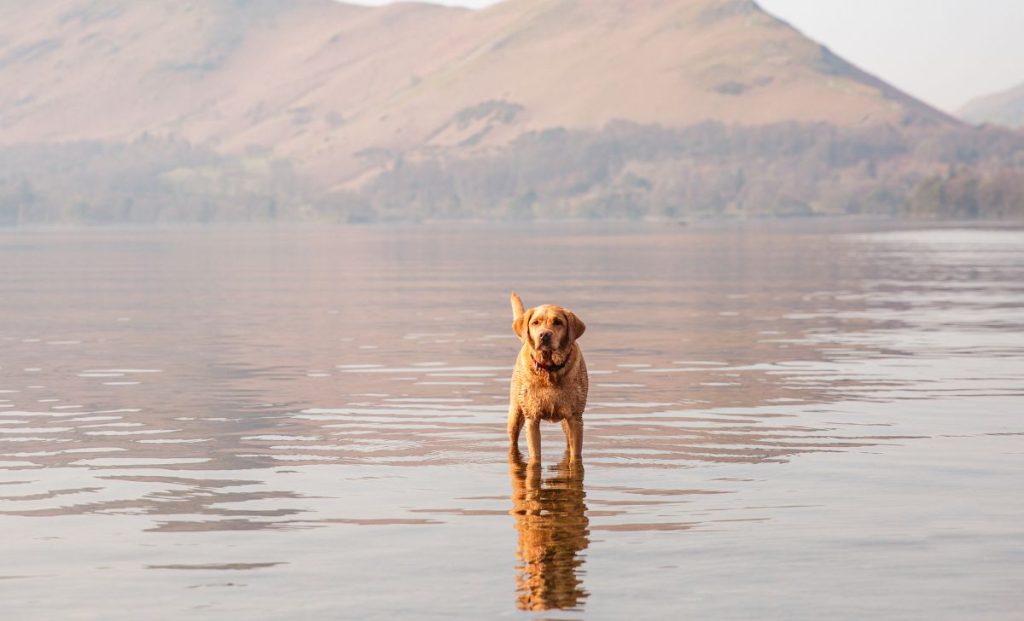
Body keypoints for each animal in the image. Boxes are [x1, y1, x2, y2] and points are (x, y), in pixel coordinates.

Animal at [507, 291, 589, 463]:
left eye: (558, 322)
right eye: (535, 323)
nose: (544, 335)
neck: (550, 370)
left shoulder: (576, 419)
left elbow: (576, 455)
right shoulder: (532, 419)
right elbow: (535, 456)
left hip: (566, 423)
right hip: (515, 415)